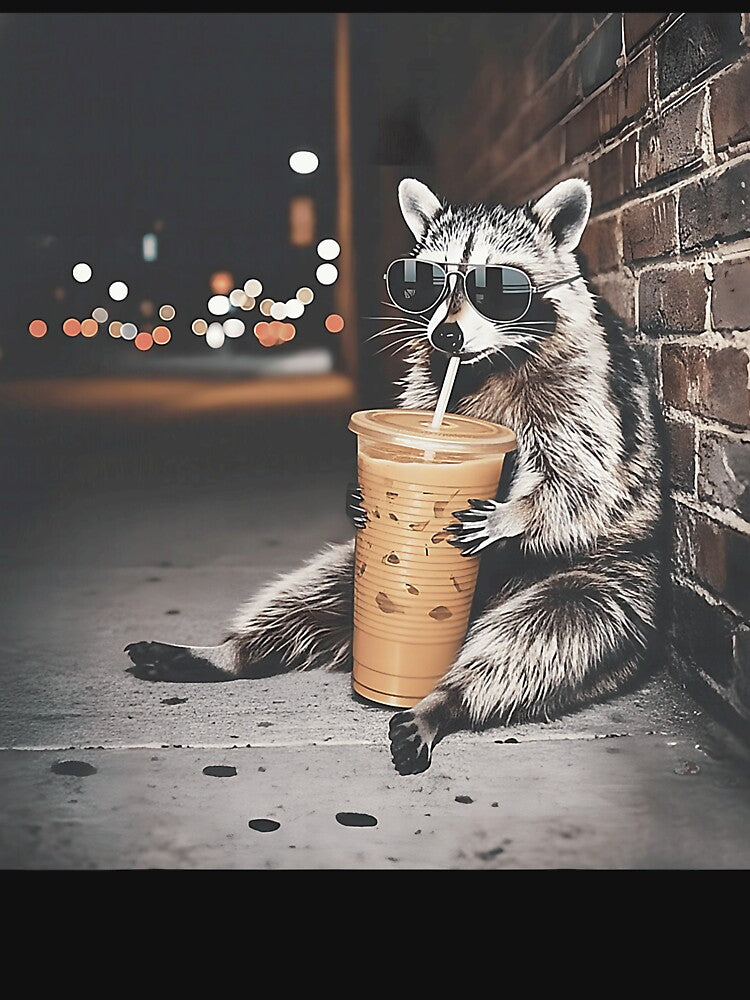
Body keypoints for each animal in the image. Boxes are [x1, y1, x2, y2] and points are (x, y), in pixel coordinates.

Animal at [126, 176, 666, 776]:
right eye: (424, 281)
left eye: (497, 285)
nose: (448, 336)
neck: (489, 361)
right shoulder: (432, 383)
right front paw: (356, 488)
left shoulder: (586, 384)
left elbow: (583, 474)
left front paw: (516, 513)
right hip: (351, 571)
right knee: (312, 593)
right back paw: (236, 652)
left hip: (611, 583)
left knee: (540, 642)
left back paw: (446, 700)